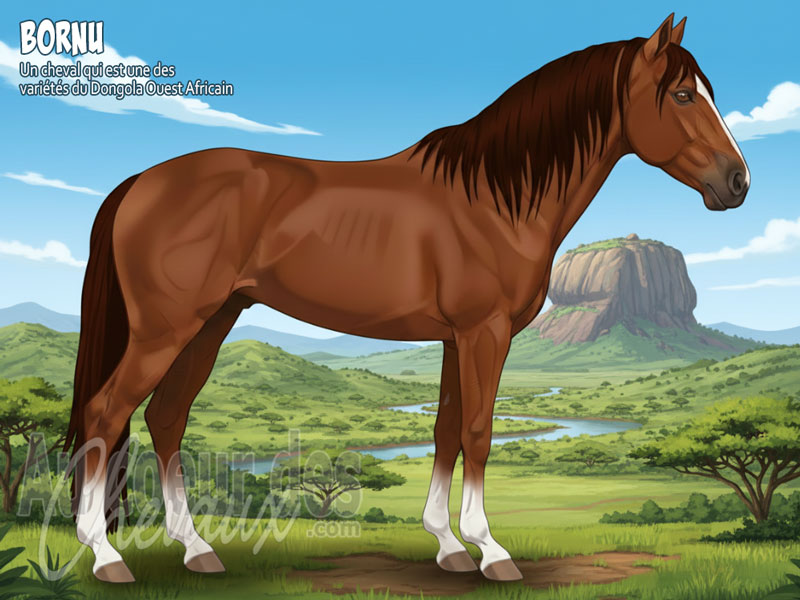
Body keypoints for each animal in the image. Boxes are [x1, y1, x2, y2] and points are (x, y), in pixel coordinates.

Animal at [65, 14, 749, 583]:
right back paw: (105, 555)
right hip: (165, 328)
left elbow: (446, 432)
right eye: (683, 95)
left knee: (166, 418)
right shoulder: (484, 332)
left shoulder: (454, 338)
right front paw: (491, 551)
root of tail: (140, 183)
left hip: (211, 321)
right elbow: (478, 431)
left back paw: (197, 549)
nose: (737, 182)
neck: (495, 199)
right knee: (107, 412)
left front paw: (448, 546)